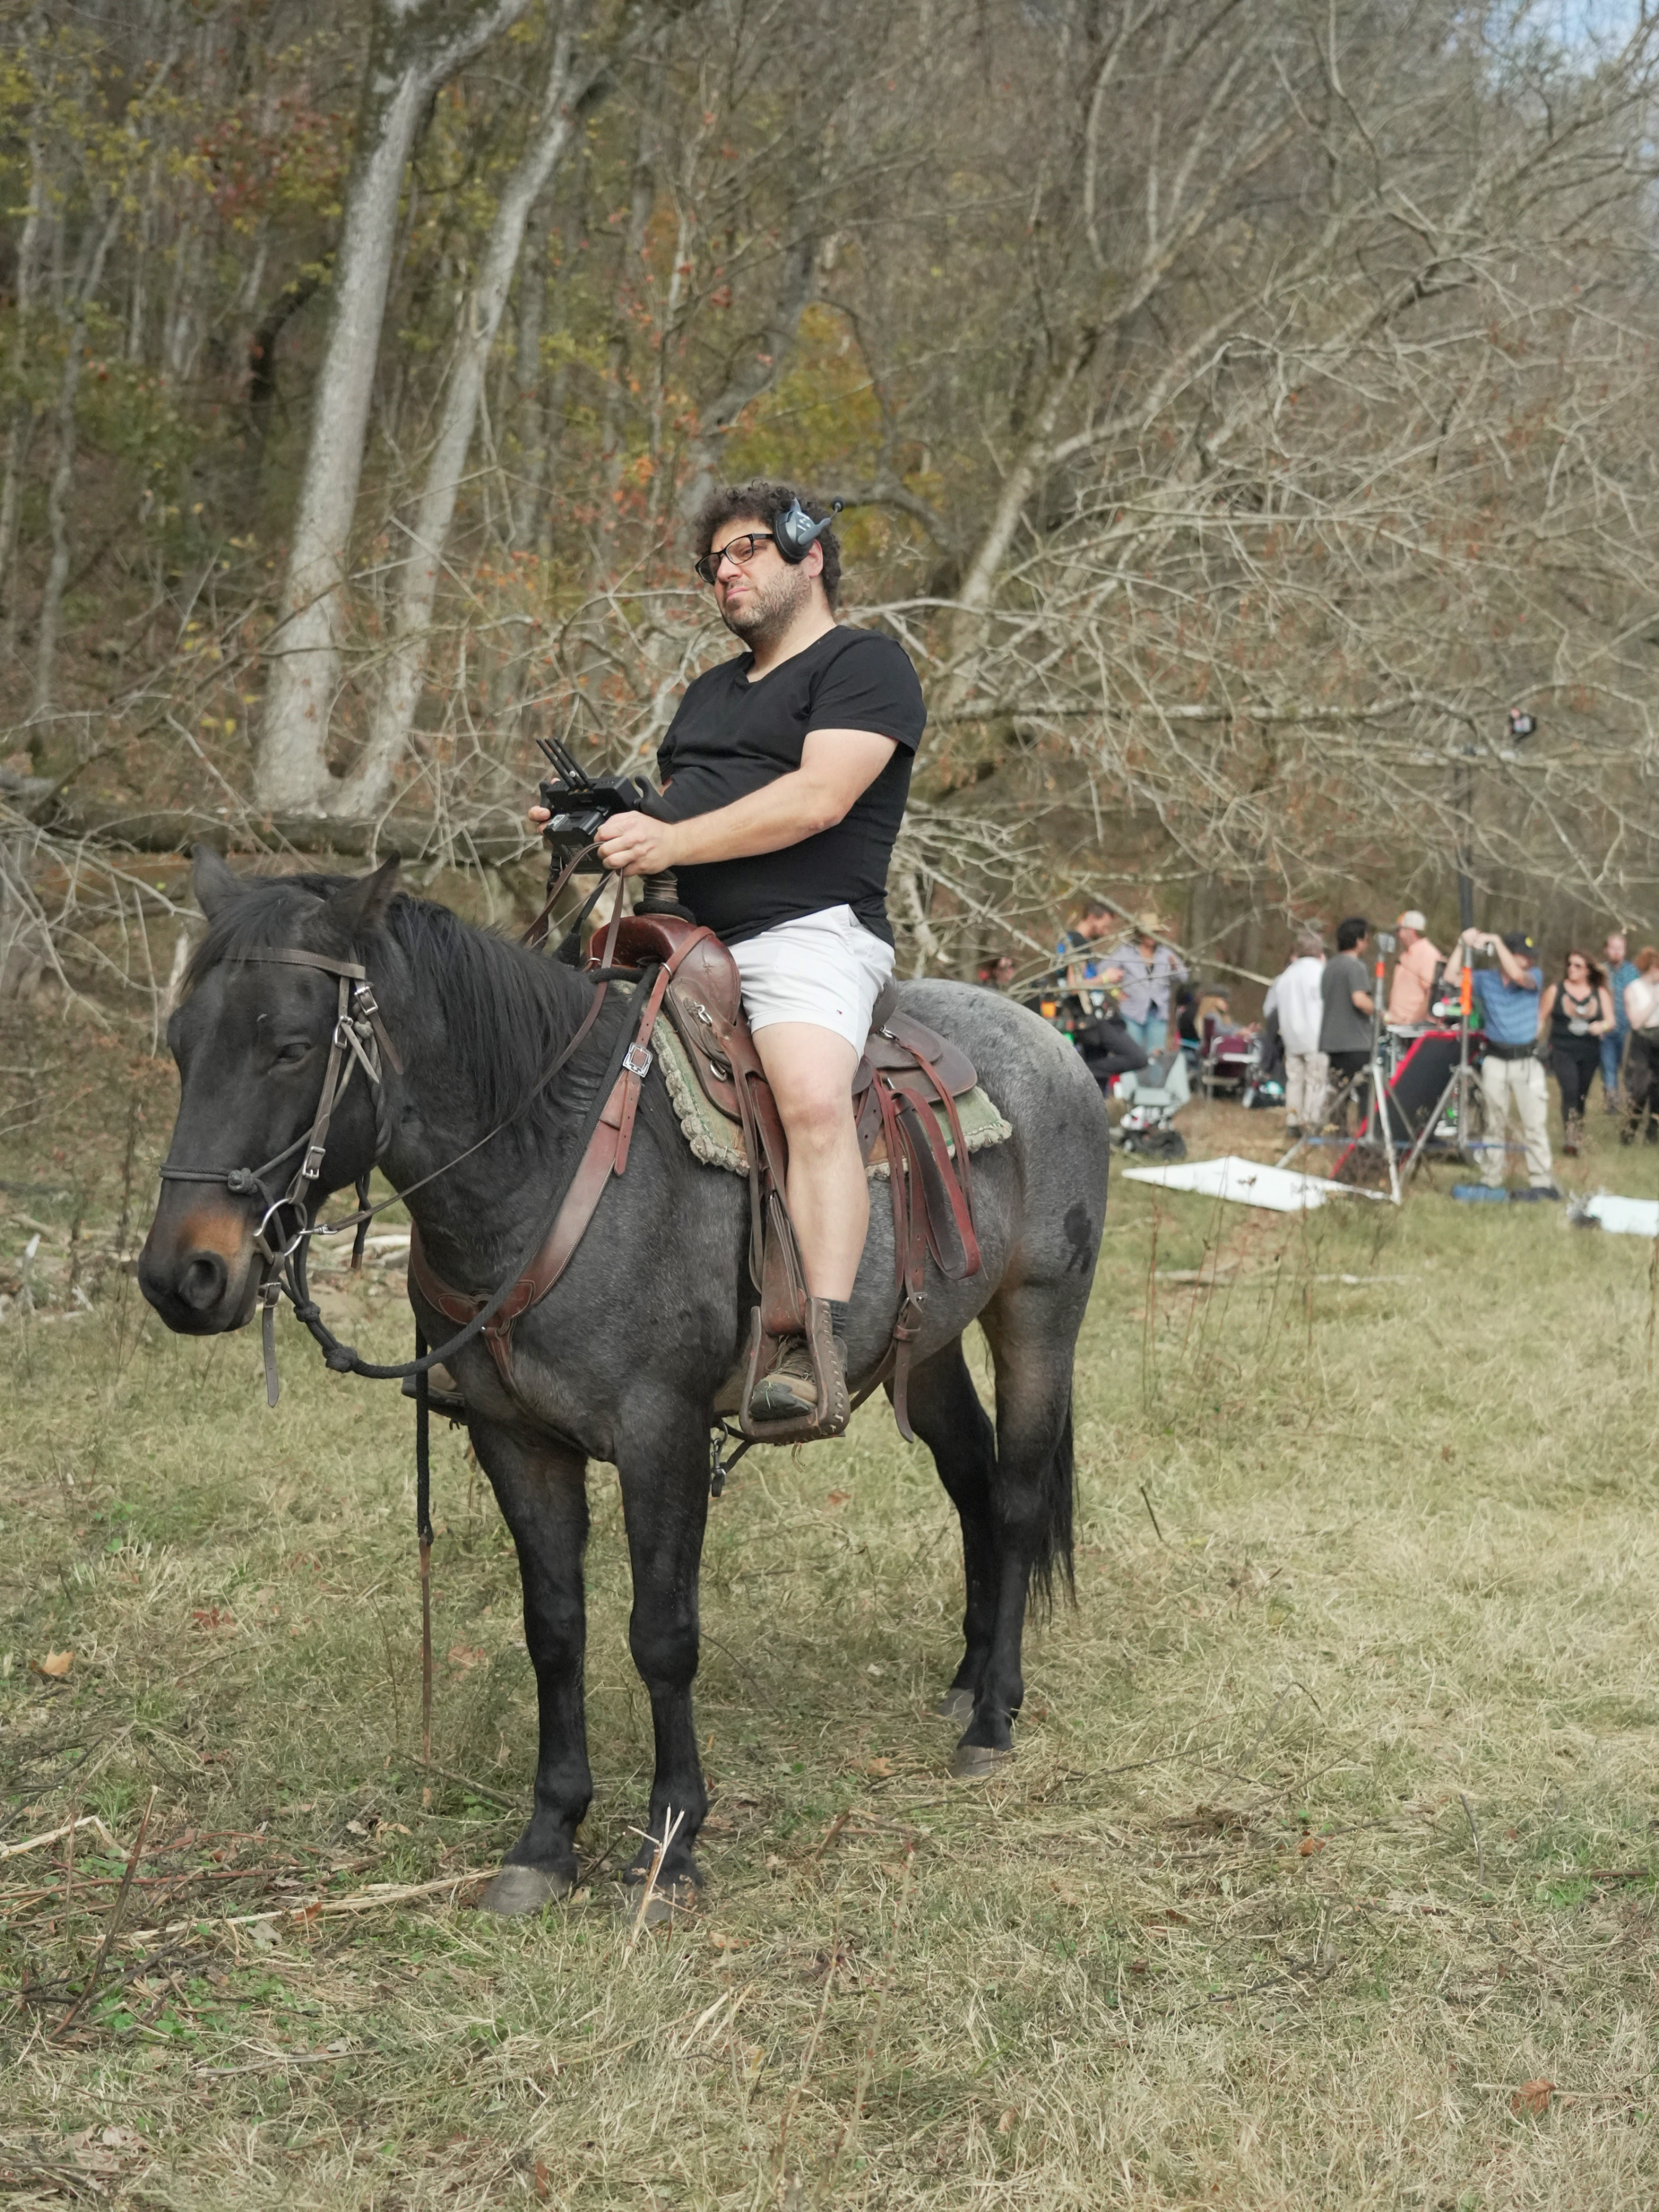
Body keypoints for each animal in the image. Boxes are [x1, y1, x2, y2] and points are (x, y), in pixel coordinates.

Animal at [139, 854, 1106, 1911]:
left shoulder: (660, 1437)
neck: (546, 1163)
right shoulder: (516, 1440)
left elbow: (662, 1635)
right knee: (971, 1480)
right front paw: (548, 1837)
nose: (182, 1277)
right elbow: (554, 1628)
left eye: (289, 1046)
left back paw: (994, 1719)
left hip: (1039, 1316)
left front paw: (671, 1839)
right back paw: (968, 1678)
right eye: (180, 1045)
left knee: (1015, 1498)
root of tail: (1052, 1043)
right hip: (920, 1346)